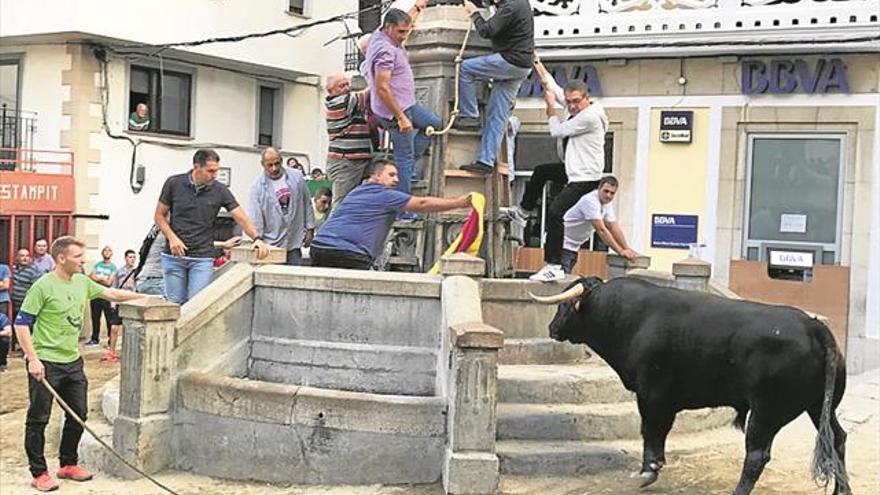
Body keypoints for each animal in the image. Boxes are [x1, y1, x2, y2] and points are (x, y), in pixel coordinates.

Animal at [532, 280, 848, 495]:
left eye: (563, 306)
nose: (551, 328)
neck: (628, 316)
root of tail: (813, 326)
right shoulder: (664, 400)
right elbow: (658, 432)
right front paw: (654, 466)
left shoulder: (652, 394)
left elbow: (651, 429)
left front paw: (648, 470)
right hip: (818, 406)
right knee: (838, 438)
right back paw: (842, 489)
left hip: (766, 412)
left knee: (757, 455)